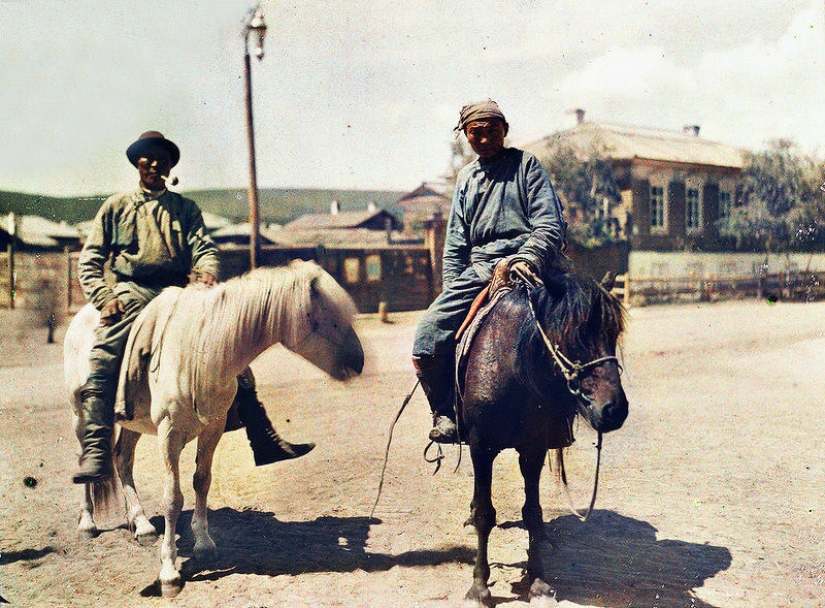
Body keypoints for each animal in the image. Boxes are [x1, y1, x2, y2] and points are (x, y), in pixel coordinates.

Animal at [61, 258, 364, 596]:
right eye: (327, 318)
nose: (360, 361)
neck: (198, 351)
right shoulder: (169, 433)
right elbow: (173, 498)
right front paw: (169, 571)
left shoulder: (213, 428)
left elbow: (201, 482)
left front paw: (204, 544)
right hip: (80, 414)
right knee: (88, 459)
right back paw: (87, 522)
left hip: (131, 422)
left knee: (122, 459)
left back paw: (141, 524)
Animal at [458, 268, 624, 604]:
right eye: (574, 337)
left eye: (613, 336)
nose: (615, 409)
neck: (510, 368)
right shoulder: (481, 446)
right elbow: (484, 514)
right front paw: (479, 587)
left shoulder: (533, 448)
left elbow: (532, 513)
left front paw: (538, 581)